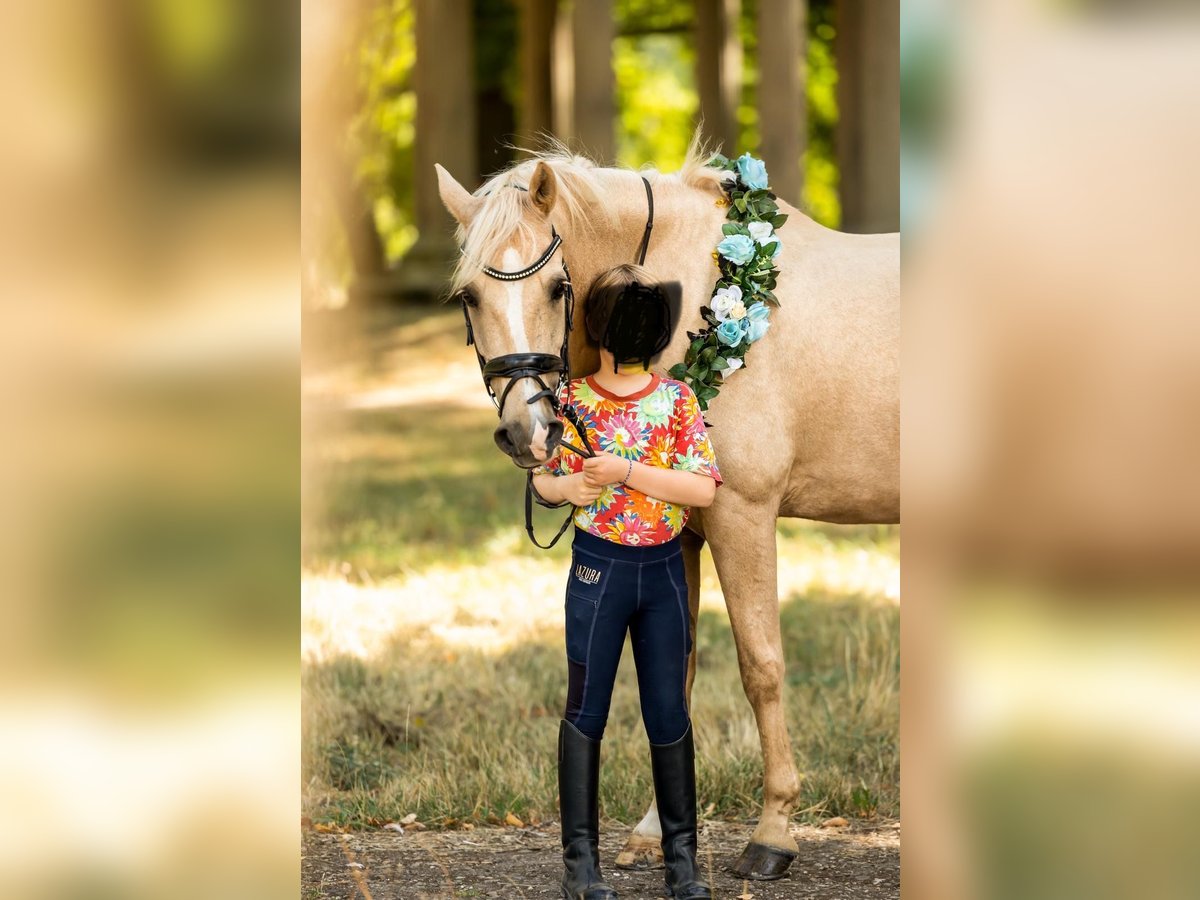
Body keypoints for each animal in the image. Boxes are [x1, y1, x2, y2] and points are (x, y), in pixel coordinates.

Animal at [436, 141, 897, 883]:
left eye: (557, 288)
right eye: (468, 296)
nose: (526, 433)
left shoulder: (742, 515)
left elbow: (761, 666)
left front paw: (773, 833)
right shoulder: (680, 538)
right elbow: (671, 674)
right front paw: (655, 832)